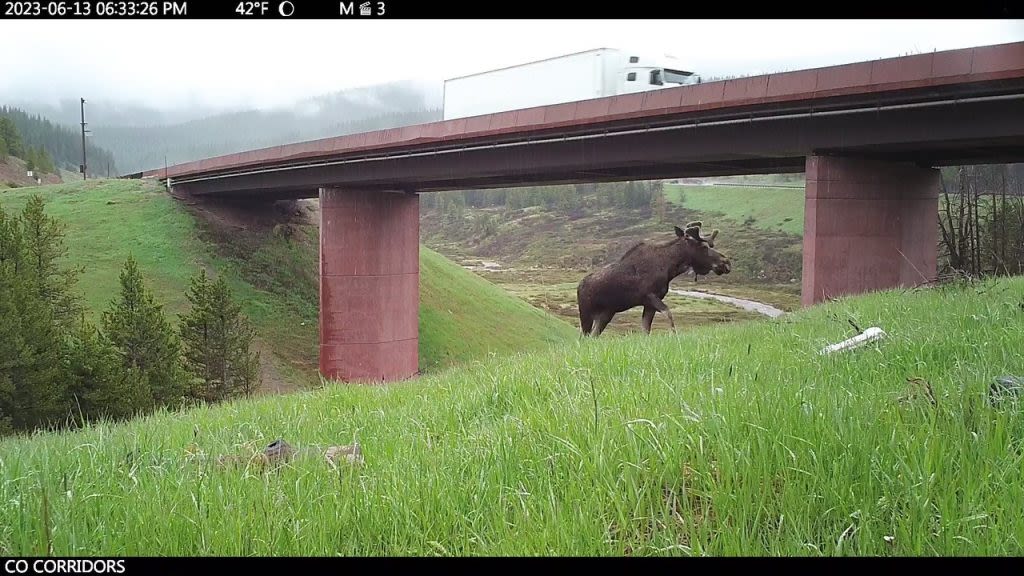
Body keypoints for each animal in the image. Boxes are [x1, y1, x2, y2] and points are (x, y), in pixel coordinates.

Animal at [581, 220, 733, 336]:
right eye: (703, 246)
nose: (726, 262)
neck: (669, 267)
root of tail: (579, 287)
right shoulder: (650, 296)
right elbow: (668, 313)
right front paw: (674, 335)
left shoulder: (649, 304)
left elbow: (646, 330)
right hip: (586, 314)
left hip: (606, 314)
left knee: (593, 336)